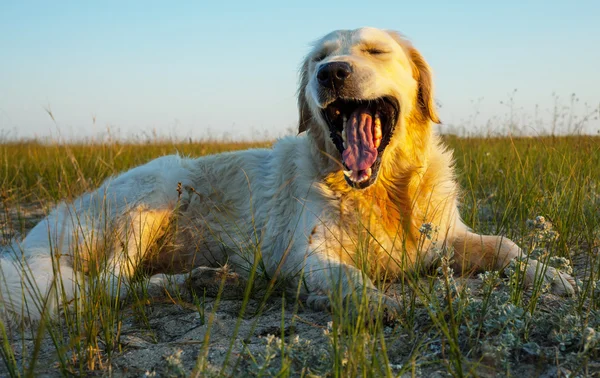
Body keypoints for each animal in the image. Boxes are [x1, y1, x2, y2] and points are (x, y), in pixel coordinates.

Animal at [0, 27, 576, 322]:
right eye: (320, 56)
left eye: (374, 50)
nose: (331, 72)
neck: (386, 192)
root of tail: (28, 240)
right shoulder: (307, 251)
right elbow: (346, 276)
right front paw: (369, 303)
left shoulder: (447, 237)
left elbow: (504, 245)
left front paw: (550, 274)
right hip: (156, 189)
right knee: (105, 286)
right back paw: (203, 282)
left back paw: (209, 279)